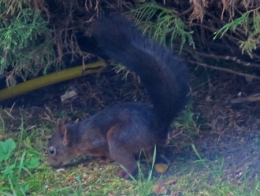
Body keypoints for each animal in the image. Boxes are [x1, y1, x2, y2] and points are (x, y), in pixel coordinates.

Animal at [46, 14, 189, 179]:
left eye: (52, 150)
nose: (50, 164)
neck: (78, 136)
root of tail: (155, 129)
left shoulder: (97, 141)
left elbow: (106, 152)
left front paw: (104, 159)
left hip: (118, 138)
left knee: (131, 163)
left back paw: (125, 173)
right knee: (150, 155)